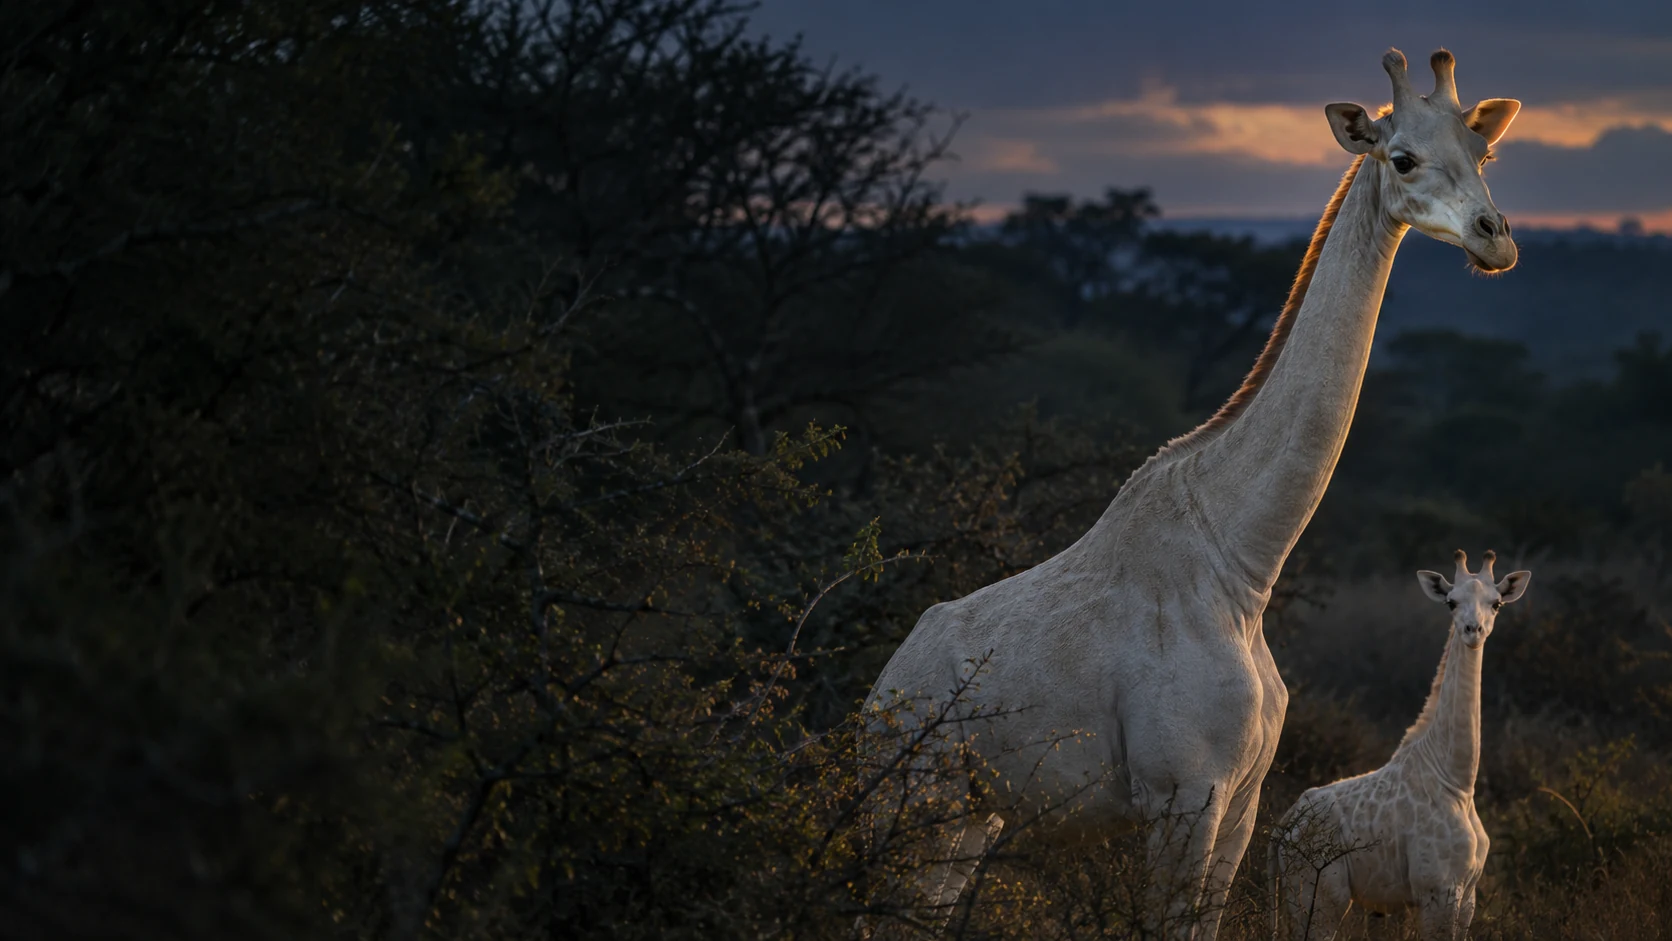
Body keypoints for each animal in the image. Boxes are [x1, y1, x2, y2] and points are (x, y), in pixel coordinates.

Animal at [1269, 550, 1532, 941]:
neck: (1456, 780)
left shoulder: (1468, 894)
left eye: (1496, 603)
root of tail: (1283, 829)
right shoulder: (1436, 890)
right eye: (1451, 602)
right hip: (1319, 894)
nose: (1473, 631)